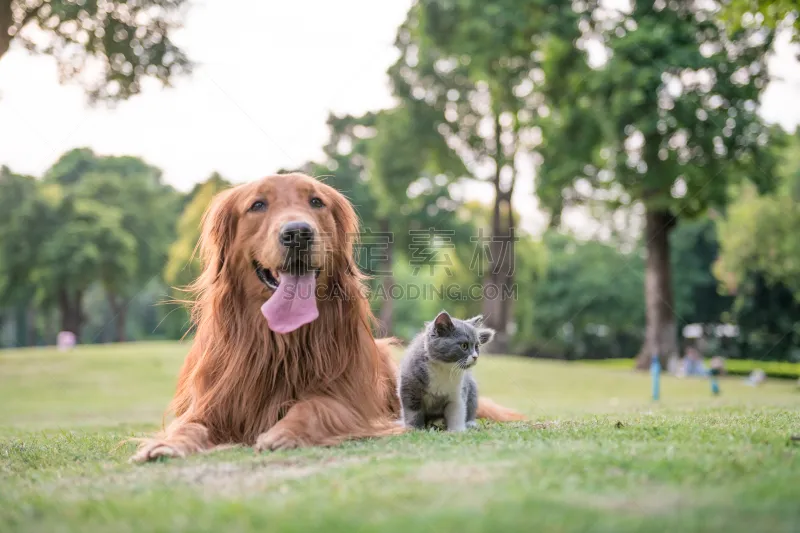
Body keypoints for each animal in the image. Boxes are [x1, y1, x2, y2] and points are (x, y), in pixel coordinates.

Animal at [130, 171, 520, 462]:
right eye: (257, 204)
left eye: (316, 201)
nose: (298, 233)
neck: (281, 341)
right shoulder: (214, 402)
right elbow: (188, 425)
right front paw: (165, 444)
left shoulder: (347, 400)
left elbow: (312, 408)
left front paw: (282, 433)